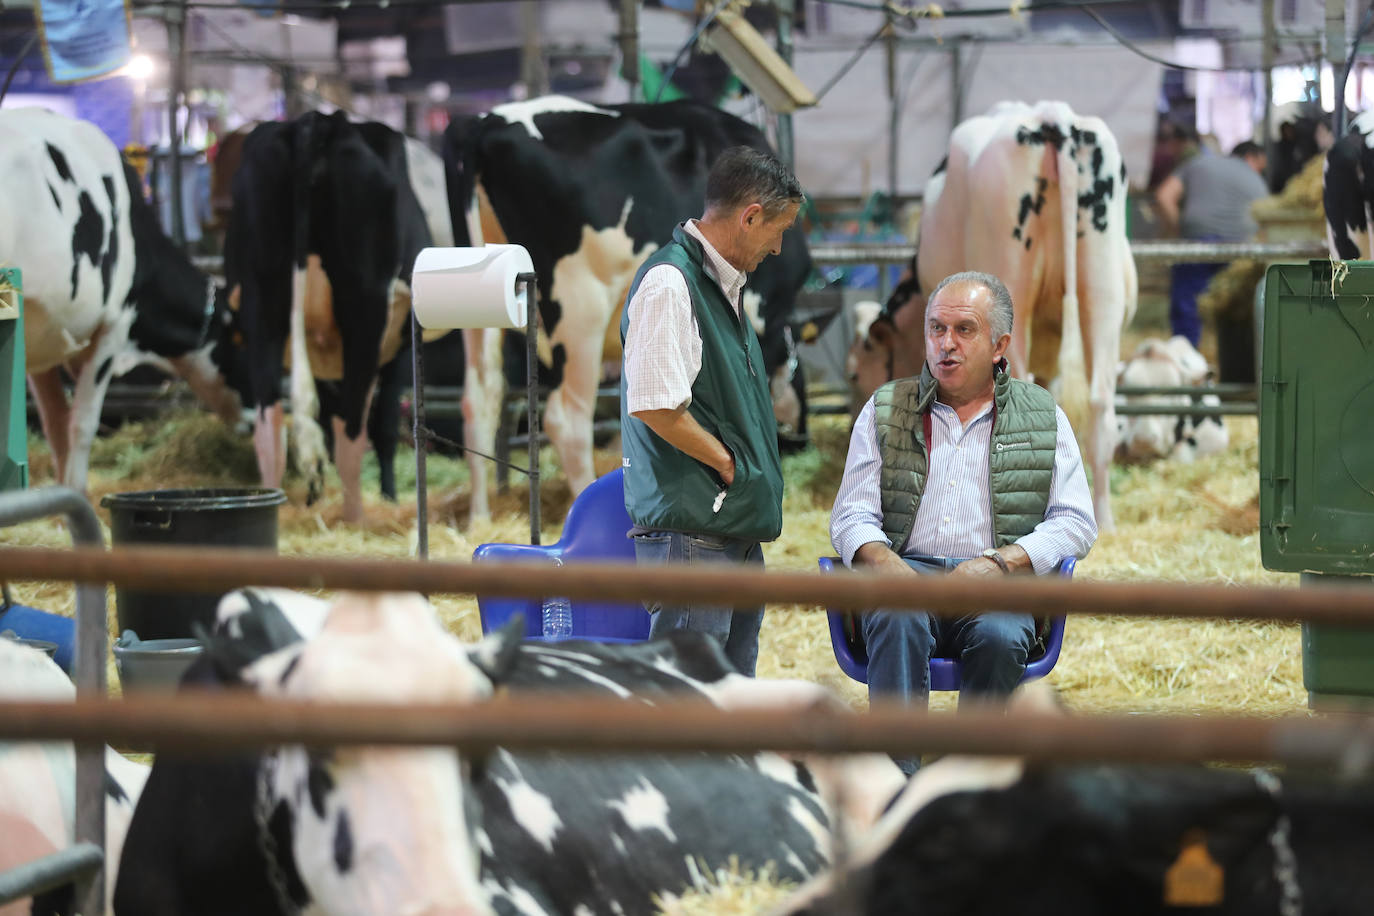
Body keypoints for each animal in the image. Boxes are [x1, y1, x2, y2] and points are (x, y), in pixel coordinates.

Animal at [223, 111, 434, 519]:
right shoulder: (399, 349)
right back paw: (355, 519)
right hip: (365, 309)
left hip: (263, 300)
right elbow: (385, 428)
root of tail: (317, 121)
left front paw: (314, 495)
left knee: (271, 423)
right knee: (350, 429)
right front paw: (388, 496)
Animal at [439, 96, 807, 521]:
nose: (800, 440)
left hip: (475, 293)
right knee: (566, 419)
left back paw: (479, 518)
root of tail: (486, 122)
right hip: (580, 306)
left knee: (478, 400)